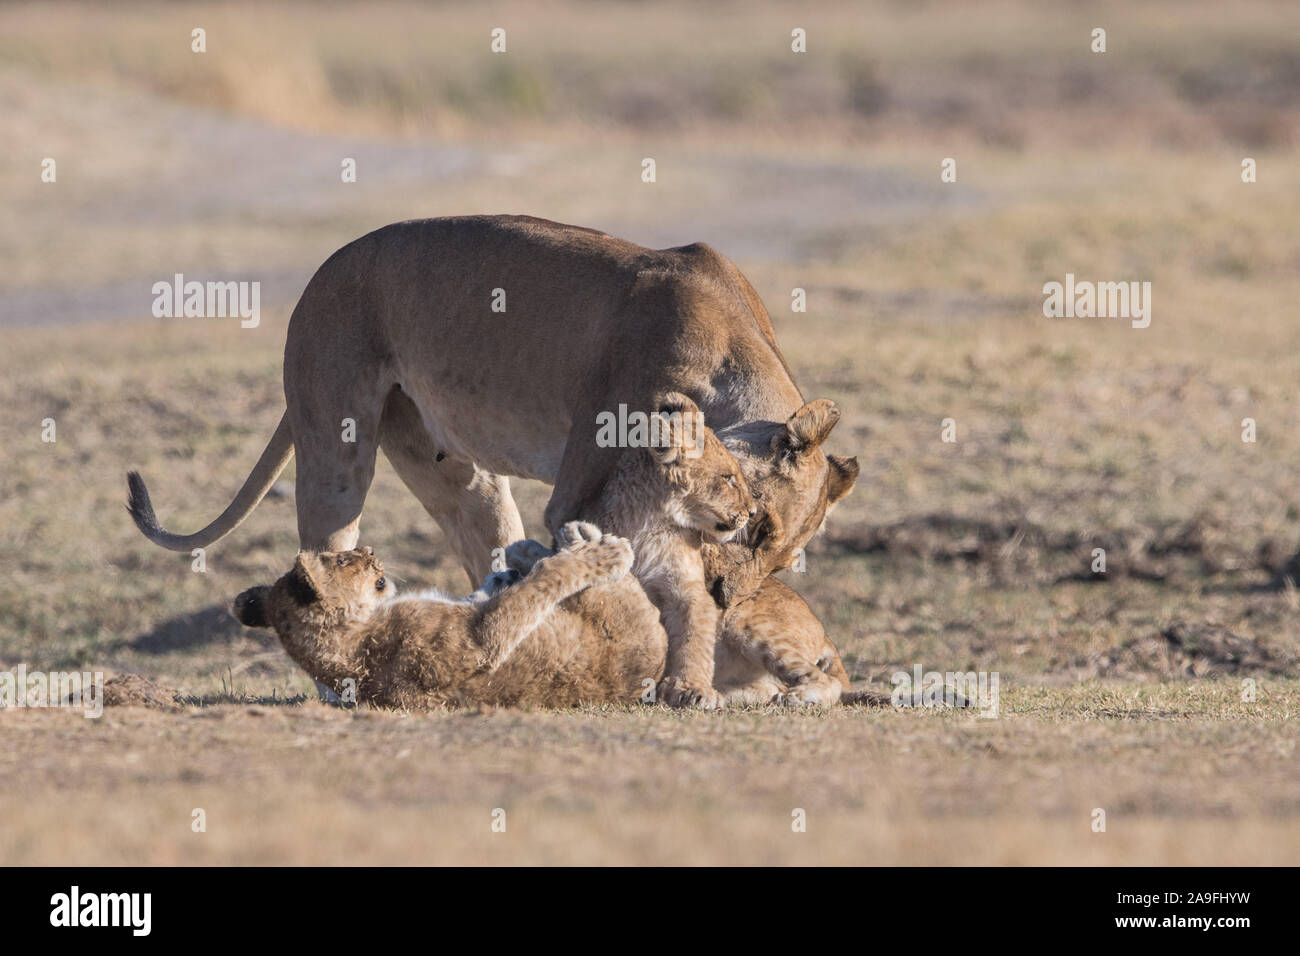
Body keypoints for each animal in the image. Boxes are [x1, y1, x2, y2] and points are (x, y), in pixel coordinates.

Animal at [126, 218, 857, 712]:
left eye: (785, 556)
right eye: (753, 527)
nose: (731, 597)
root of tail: (322, 271)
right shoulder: (580, 490)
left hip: (458, 472)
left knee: (491, 560)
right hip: (335, 446)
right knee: (325, 554)